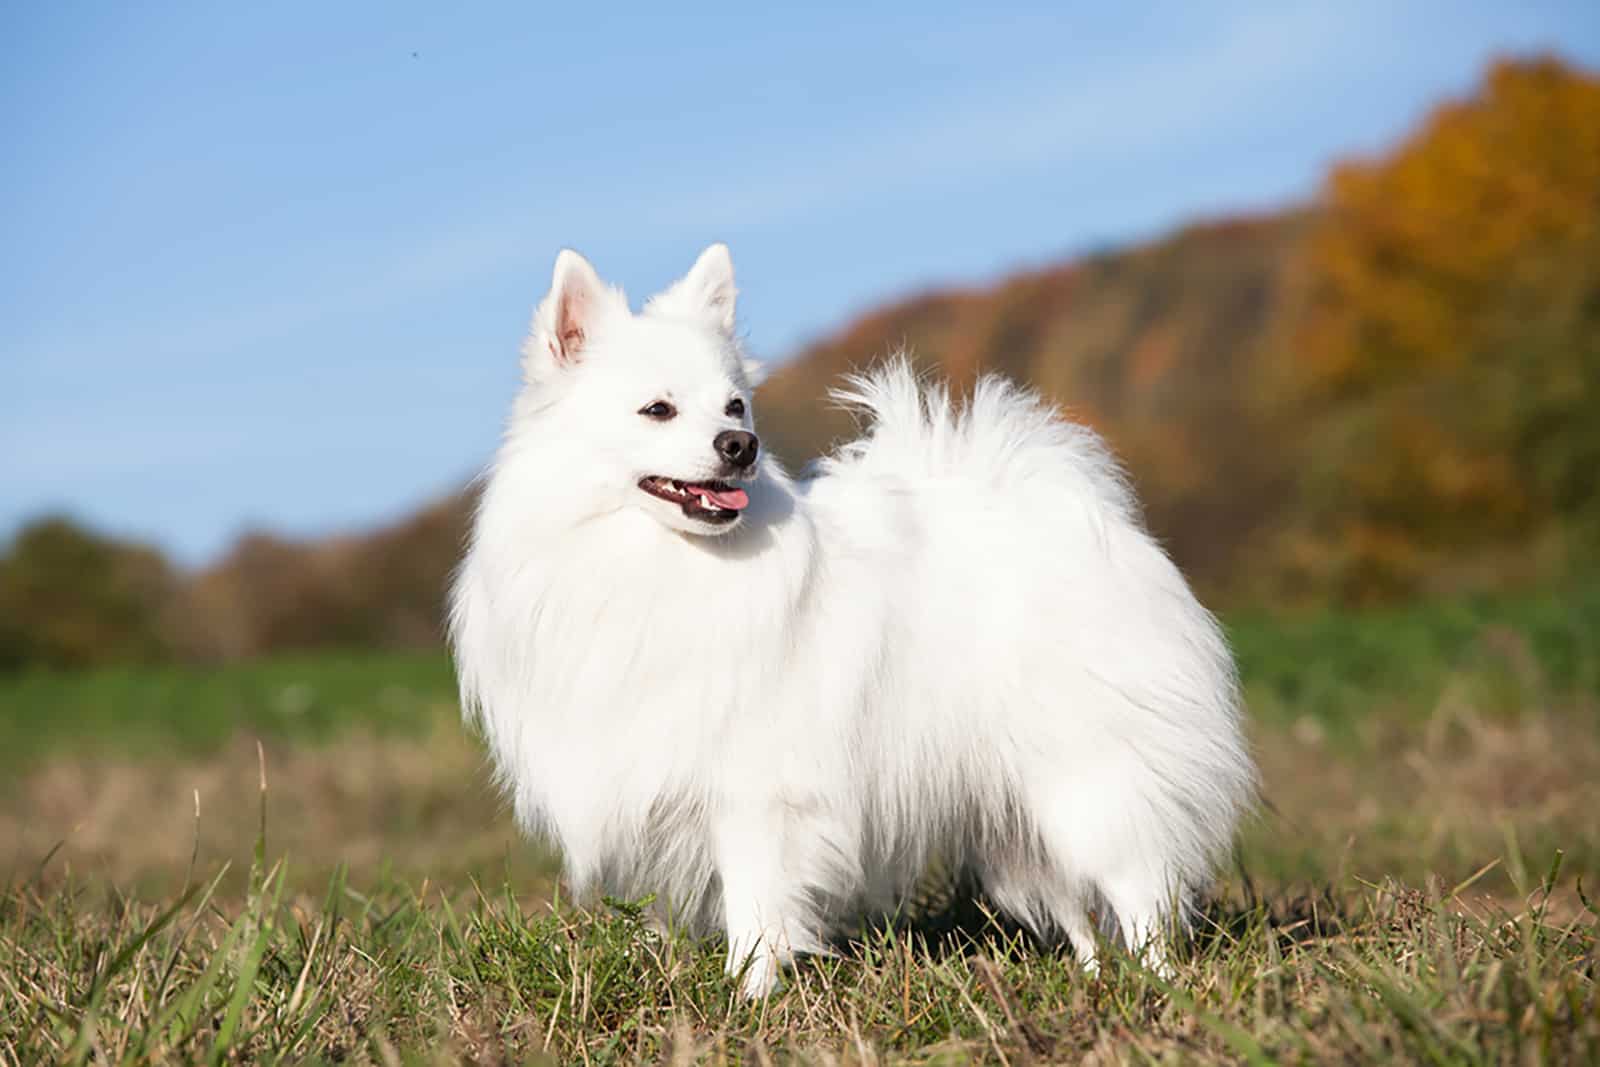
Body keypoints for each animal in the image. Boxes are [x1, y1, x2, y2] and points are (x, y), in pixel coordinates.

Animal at [448, 246, 1248, 998]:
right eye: (658, 410)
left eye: (736, 407)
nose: (741, 447)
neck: (662, 566)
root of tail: (1085, 516)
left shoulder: (756, 795)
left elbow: (756, 913)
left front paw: (748, 1003)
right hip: (1017, 818)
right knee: (1078, 910)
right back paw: (1093, 984)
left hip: (1087, 783)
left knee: (1141, 893)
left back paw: (1161, 990)